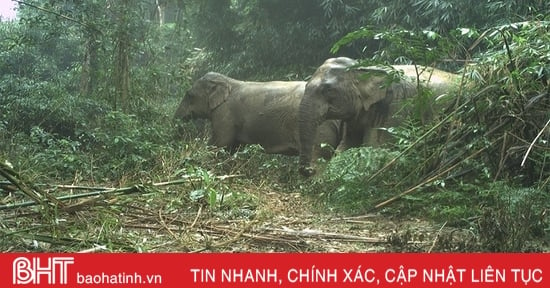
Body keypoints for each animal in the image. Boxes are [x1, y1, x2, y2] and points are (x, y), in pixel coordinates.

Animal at [175, 70, 342, 159]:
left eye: (189, 95)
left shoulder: (225, 113)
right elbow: (233, 146)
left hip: (318, 129)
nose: (177, 121)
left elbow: (220, 142)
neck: (228, 81)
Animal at [298, 57, 462, 177]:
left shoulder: (395, 107)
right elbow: (346, 147)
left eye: (328, 90)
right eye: (306, 86)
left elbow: (374, 147)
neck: (365, 68)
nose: (310, 170)